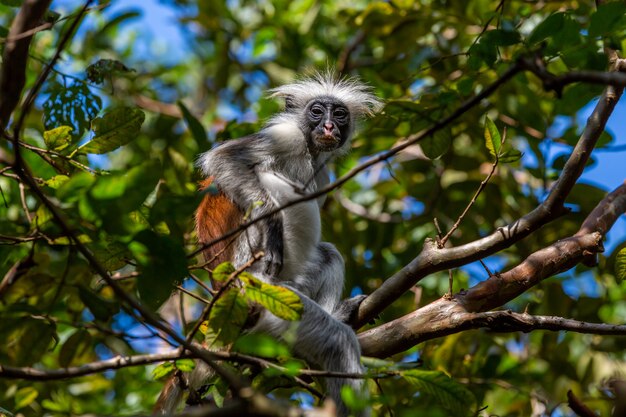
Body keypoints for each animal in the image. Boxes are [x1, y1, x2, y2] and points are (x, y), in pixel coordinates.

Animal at [155, 73, 380, 414]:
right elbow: (223, 159)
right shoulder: (285, 136)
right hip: (259, 291)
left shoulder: (322, 173)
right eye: (317, 112)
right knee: (338, 342)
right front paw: (270, 220)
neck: (309, 152)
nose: (329, 127)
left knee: (329, 254)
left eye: (339, 114)